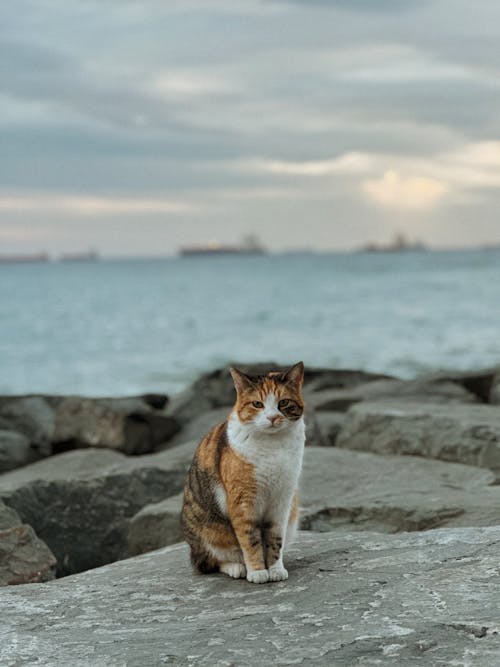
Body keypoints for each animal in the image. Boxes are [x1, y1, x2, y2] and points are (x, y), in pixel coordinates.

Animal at [181, 362, 304, 588]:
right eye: (257, 404)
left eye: (283, 402)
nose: (272, 417)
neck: (272, 446)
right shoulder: (243, 502)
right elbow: (250, 540)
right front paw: (258, 572)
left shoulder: (282, 501)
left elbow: (275, 539)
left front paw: (275, 569)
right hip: (208, 532)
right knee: (212, 561)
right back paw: (237, 568)